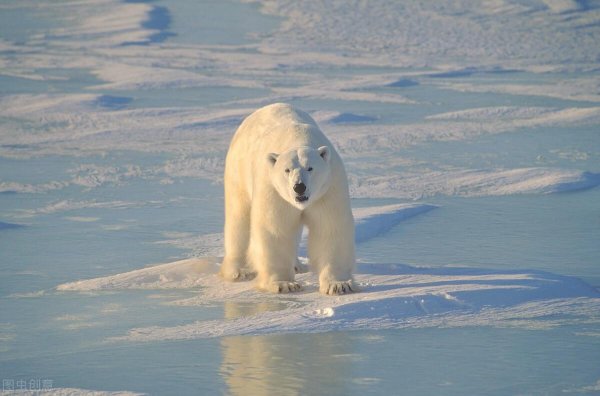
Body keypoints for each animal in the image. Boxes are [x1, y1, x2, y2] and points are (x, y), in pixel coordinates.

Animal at [223, 103, 358, 296]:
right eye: (287, 170)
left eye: (310, 168)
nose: (299, 187)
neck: (297, 138)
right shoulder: (273, 189)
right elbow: (275, 229)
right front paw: (284, 284)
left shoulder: (328, 188)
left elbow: (330, 227)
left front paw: (339, 284)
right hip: (238, 170)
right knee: (239, 218)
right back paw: (239, 271)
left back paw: (296, 265)